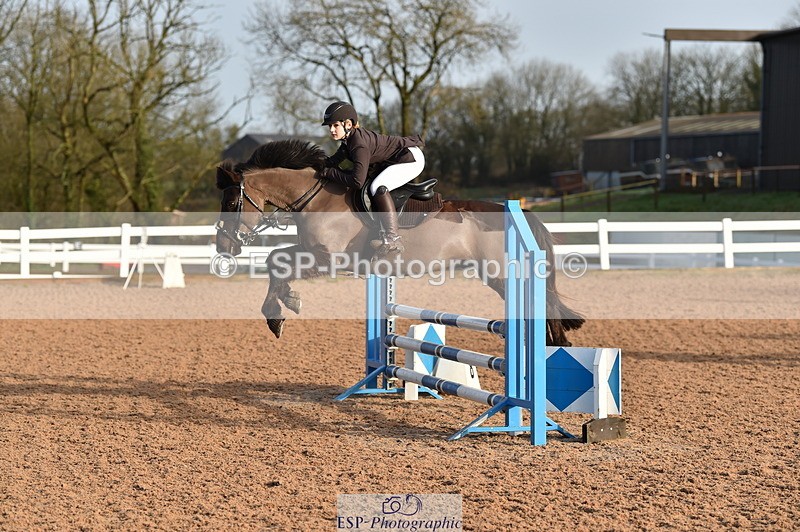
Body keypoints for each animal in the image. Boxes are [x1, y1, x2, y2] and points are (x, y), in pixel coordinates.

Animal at [214, 139, 584, 345]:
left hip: (502, 276)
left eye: (231, 203)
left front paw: (280, 308)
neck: (316, 198)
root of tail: (520, 213)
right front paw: (283, 307)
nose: (224, 247)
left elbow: (280, 263)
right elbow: (275, 259)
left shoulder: (329, 260)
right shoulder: (310, 252)